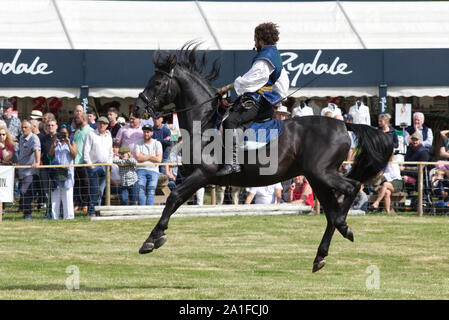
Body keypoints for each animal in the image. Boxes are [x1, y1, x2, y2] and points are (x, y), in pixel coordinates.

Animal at [131, 43, 390, 272]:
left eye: (157, 82)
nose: (137, 108)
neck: (204, 122)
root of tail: (344, 124)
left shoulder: (203, 174)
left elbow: (173, 198)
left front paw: (152, 239)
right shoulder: (190, 175)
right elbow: (174, 198)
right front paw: (156, 236)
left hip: (322, 173)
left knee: (351, 188)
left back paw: (343, 228)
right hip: (317, 178)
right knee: (331, 213)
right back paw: (322, 253)